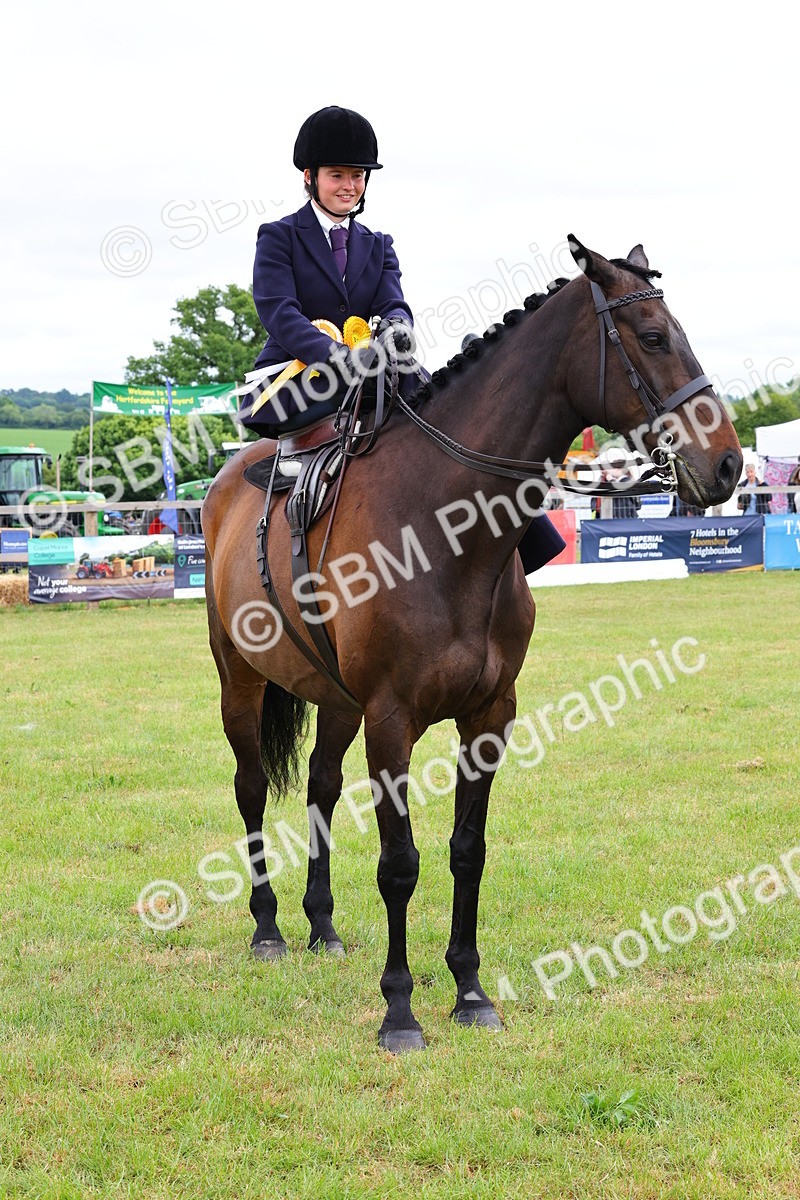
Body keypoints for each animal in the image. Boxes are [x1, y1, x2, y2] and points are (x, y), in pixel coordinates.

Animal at [201, 236, 742, 1052]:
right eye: (652, 338)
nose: (729, 464)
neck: (443, 528)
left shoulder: (488, 717)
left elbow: (468, 850)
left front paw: (469, 991)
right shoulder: (391, 721)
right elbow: (400, 863)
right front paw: (399, 1010)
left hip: (336, 700)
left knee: (321, 787)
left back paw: (321, 926)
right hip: (241, 680)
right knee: (252, 788)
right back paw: (267, 929)